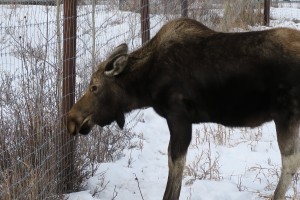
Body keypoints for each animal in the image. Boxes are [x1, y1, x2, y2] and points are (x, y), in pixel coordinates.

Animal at [68, 18, 300, 199]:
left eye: (94, 87)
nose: (71, 118)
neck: (146, 84)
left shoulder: (178, 116)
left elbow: (175, 164)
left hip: (286, 114)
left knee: (290, 161)